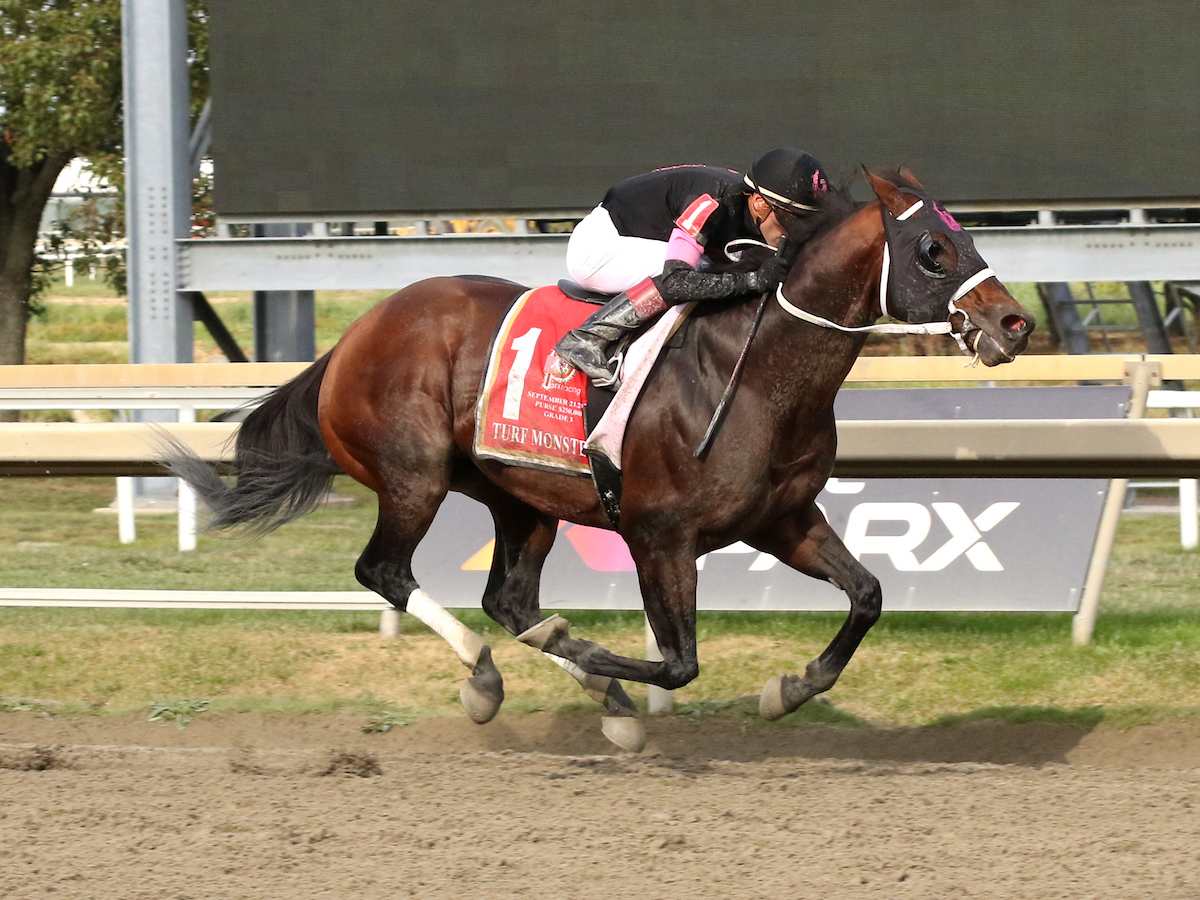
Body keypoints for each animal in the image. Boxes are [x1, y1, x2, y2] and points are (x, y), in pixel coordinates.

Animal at [165, 168, 1034, 752]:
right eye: (933, 247)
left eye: (969, 236)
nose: (1014, 324)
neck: (754, 371)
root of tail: (354, 336)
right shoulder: (660, 536)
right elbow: (678, 664)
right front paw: (608, 675)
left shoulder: (782, 518)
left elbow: (868, 595)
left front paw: (788, 690)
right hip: (414, 477)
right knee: (387, 572)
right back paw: (491, 677)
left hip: (520, 499)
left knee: (509, 599)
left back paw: (585, 685)